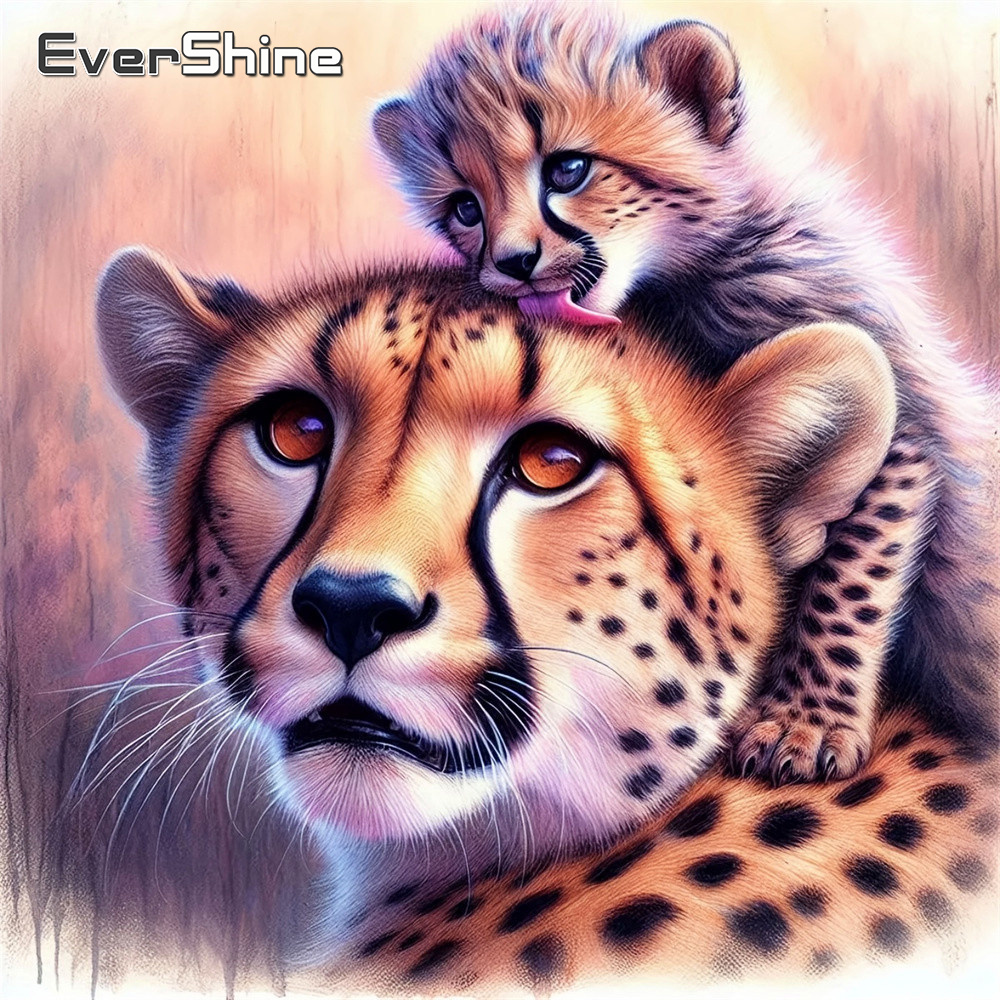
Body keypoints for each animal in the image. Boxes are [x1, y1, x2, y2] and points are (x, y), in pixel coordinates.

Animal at [369, 4, 998, 784]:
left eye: (568, 169)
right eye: (464, 207)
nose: (512, 264)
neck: (677, 280)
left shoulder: (900, 435)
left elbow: (848, 578)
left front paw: (806, 720)